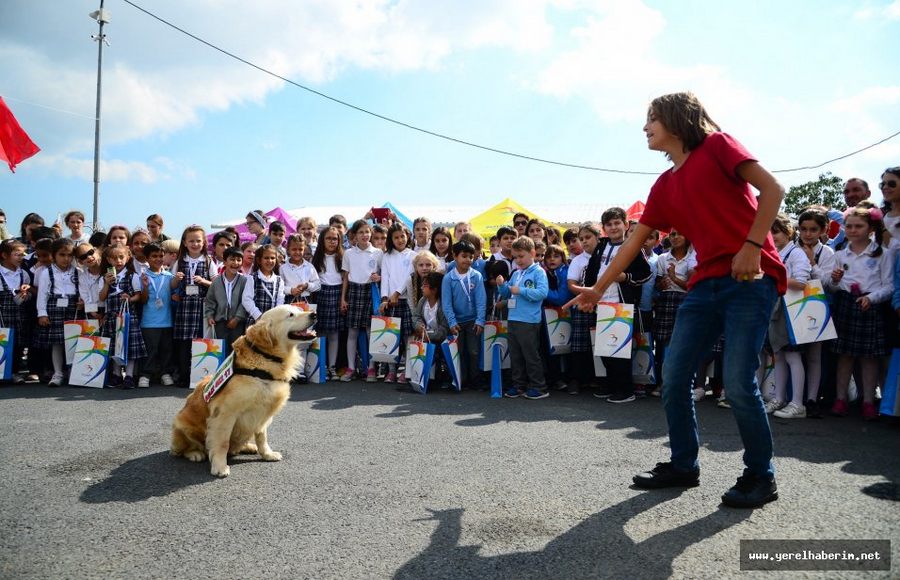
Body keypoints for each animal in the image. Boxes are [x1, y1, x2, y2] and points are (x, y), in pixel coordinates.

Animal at [171, 304, 314, 476]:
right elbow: (222, 442)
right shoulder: (225, 413)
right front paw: (219, 467)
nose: (314, 314)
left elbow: (262, 437)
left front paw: (267, 454)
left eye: (299, 309)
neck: (265, 358)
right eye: (291, 315)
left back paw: (248, 447)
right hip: (182, 424)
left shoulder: (263, 412)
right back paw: (195, 453)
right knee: (181, 450)